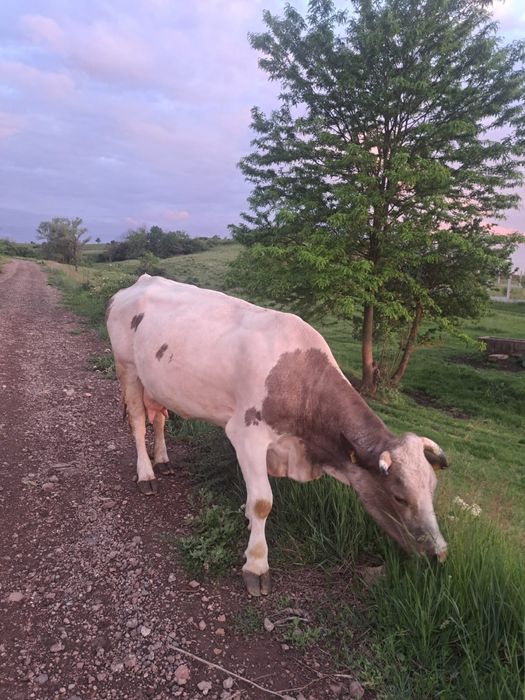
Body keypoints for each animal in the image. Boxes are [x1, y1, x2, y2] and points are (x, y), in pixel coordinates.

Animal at [106, 274, 449, 596]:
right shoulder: (246, 435)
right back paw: (147, 473)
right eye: (399, 496)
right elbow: (263, 502)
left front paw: (247, 521)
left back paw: (163, 459)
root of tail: (141, 281)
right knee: (138, 421)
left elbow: (253, 501)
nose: (439, 553)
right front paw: (257, 565)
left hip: (156, 381)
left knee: (160, 418)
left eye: (432, 489)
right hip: (127, 369)